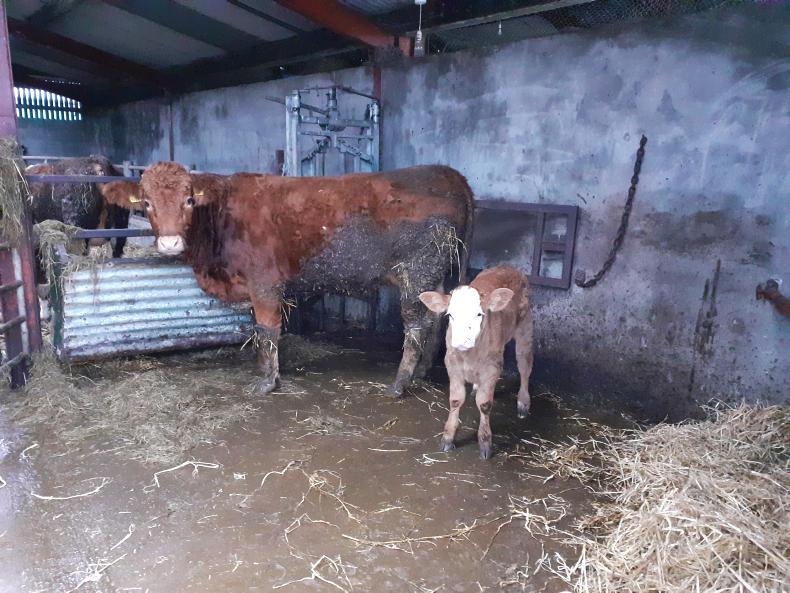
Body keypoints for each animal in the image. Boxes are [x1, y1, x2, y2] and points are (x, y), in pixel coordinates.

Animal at [100, 162, 474, 396]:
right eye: (146, 203)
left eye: (189, 200)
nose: (170, 243)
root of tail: (449, 173)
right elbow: (258, 330)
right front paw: (262, 369)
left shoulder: (265, 283)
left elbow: (268, 330)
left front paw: (269, 382)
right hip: (436, 273)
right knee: (437, 319)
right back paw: (423, 371)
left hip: (417, 271)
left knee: (416, 326)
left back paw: (400, 383)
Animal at [419, 266, 533, 459]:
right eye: (450, 315)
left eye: (479, 314)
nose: (462, 340)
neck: (469, 355)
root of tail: (508, 267)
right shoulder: (451, 362)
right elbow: (455, 400)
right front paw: (448, 438)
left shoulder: (493, 366)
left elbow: (485, 404)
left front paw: (485, 442)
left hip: (525, 328)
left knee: (524, 365)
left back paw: (523, 403)